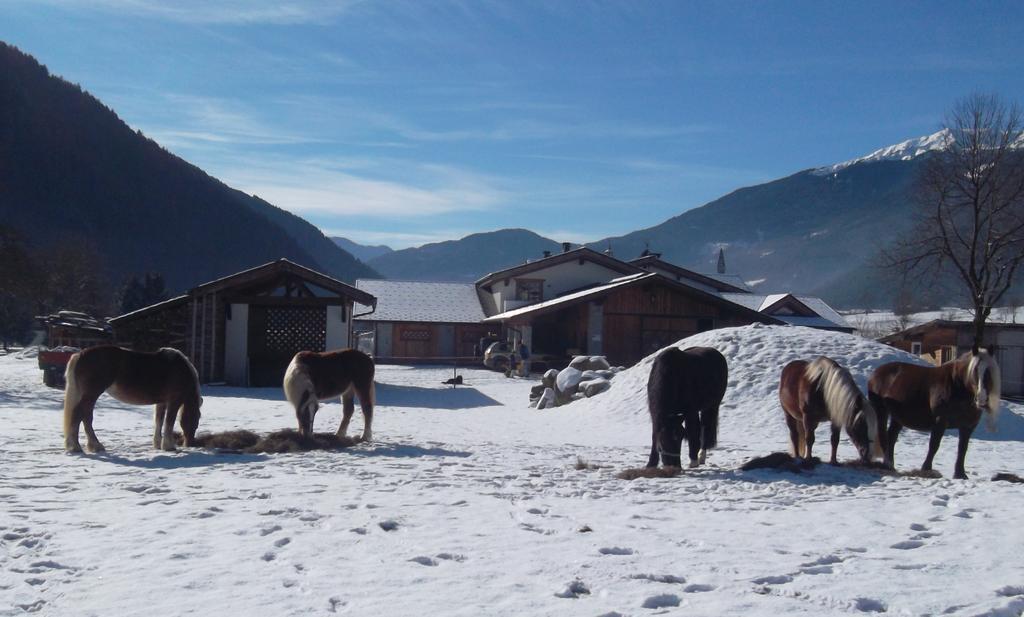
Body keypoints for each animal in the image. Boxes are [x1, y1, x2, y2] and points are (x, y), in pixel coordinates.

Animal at [62, 347, 202, 454]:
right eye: (197, 419)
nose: (190, 443)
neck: (180, 369)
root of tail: (80, 355)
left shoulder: (161, 402)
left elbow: (159, 421)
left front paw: (157, 444)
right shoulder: (174, 401)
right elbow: (169, 422)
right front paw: (169, 446)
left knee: (84, 416)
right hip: (92, 394)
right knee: (80, 415)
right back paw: (80, 446)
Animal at [868, 349, 1003, 480]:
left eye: (988, 372)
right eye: (974, 371)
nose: (981, 399)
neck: (958, 386)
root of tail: (876, 373)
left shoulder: (968, 427)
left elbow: (962, 449)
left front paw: (960, 474)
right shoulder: (940, 422)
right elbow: (934, 446)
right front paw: (926, 469)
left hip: (898, 417)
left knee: (891, 437)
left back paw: (891, 465)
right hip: (881, 411)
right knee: (883, 435)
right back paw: (887, 464)